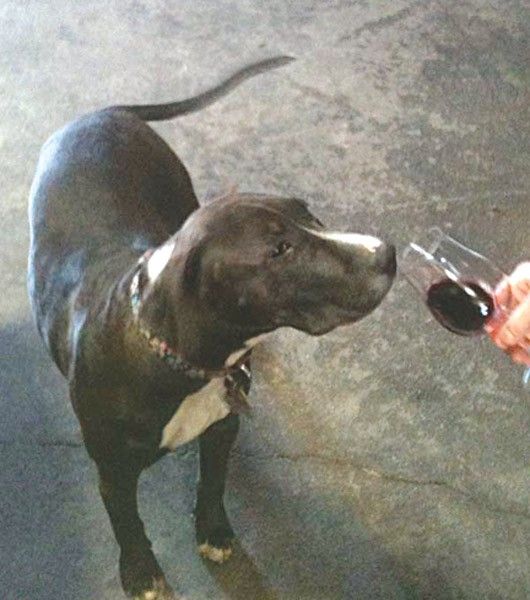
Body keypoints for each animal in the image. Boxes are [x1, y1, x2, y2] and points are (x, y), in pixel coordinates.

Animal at [26, 57, 394, 600]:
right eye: (279, 249)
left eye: (309, 213)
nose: (387, 252)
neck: (179, 359)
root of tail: (102, 113)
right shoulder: (113, 471)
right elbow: (127, 522)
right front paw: (142, 573)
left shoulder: (223, 426)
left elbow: (213, 481)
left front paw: (215, 533)